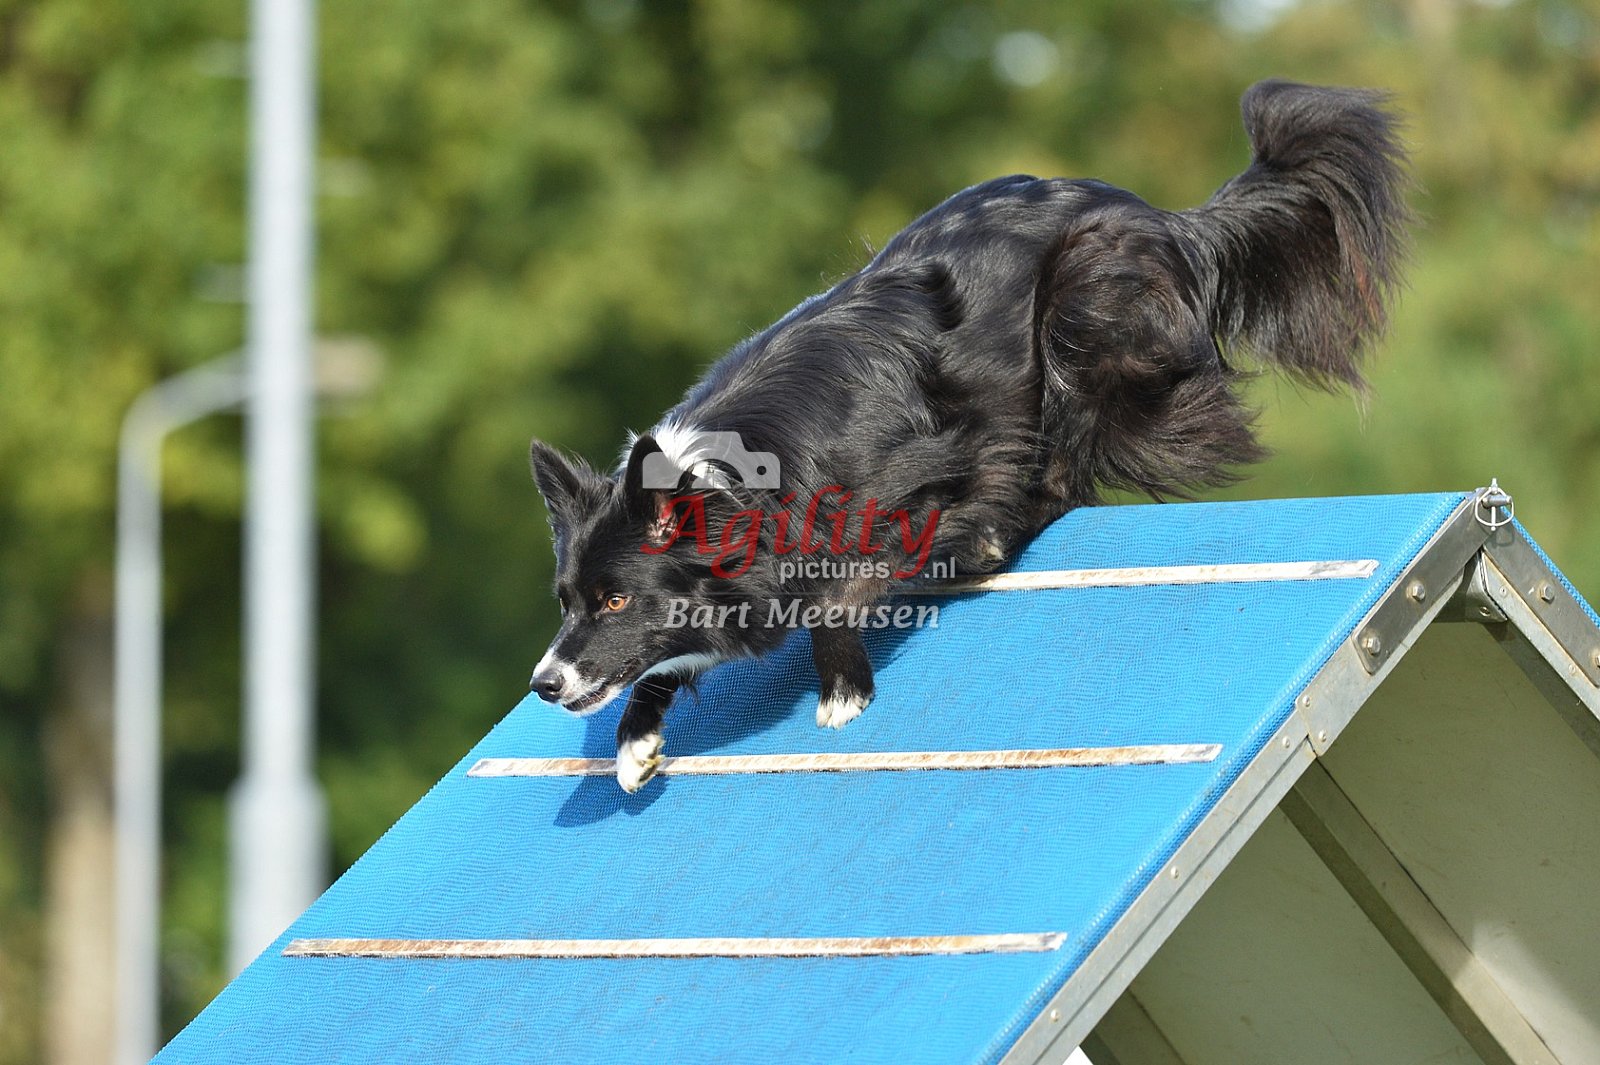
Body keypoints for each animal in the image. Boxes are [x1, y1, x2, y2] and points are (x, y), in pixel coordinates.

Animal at [528, 80, 1411, 791]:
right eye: (567, 600)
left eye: (615, 597)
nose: (543, 682)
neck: (738, 485)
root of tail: (1164, 216)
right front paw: (633, 743)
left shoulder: (914, 477)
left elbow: (838, 595)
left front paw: (842, 691)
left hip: (1082, 307)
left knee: (1071, 465)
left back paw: (997, 532)